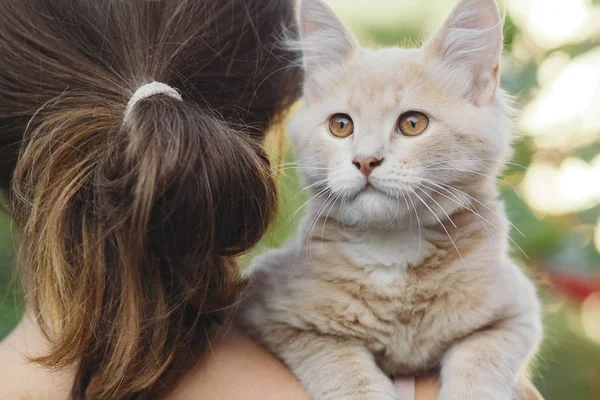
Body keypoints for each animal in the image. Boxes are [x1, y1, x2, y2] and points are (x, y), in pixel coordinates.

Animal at [238, 0, 544, 398]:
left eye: (413, 124)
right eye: (340, 125)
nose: (365, 160)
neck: (392, 253)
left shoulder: (516, 313)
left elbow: (482, 361)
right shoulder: (271, 309)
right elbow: (342, 367)